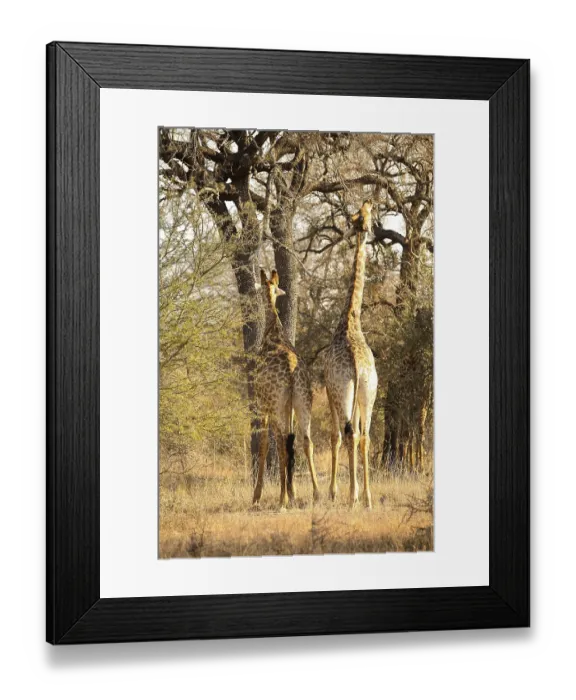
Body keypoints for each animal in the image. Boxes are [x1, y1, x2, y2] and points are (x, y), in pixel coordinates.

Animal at [252, 269, 320, 509]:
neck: (272, 331)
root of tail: (291, 371)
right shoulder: (288, 407)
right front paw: (293, 491)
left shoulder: (262, 405)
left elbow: (264, 444)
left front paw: (257, 496)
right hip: (303, 401)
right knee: (305, 440)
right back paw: (316, 494)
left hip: (277, 404)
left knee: (281, 442)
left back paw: (282, 499)